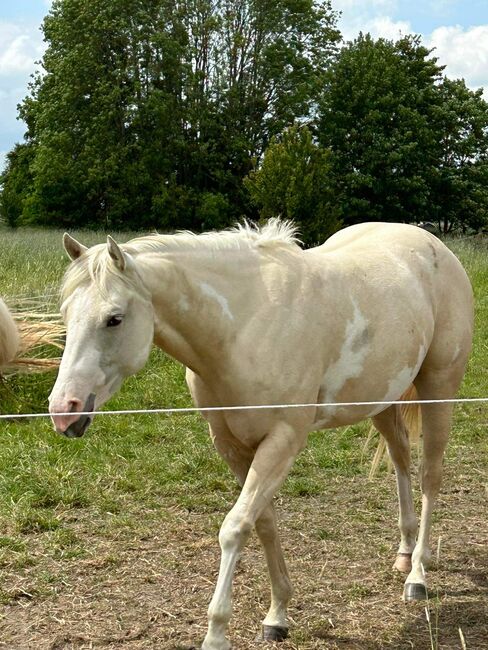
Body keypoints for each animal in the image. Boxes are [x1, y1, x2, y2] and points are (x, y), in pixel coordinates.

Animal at [49, 219, 472, 648]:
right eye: (66, 313)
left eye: (114, 318)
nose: (63, 410)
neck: (245, 327)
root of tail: (431, 243)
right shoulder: (232, 446)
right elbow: (263, 522)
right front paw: (277, 614)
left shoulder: (283, 440)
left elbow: (235, 528)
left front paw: (217, 633)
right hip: (381, 400)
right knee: (401, 458)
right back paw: (403, 553)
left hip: (438, 388)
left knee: (430, 476)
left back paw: (417, 575)